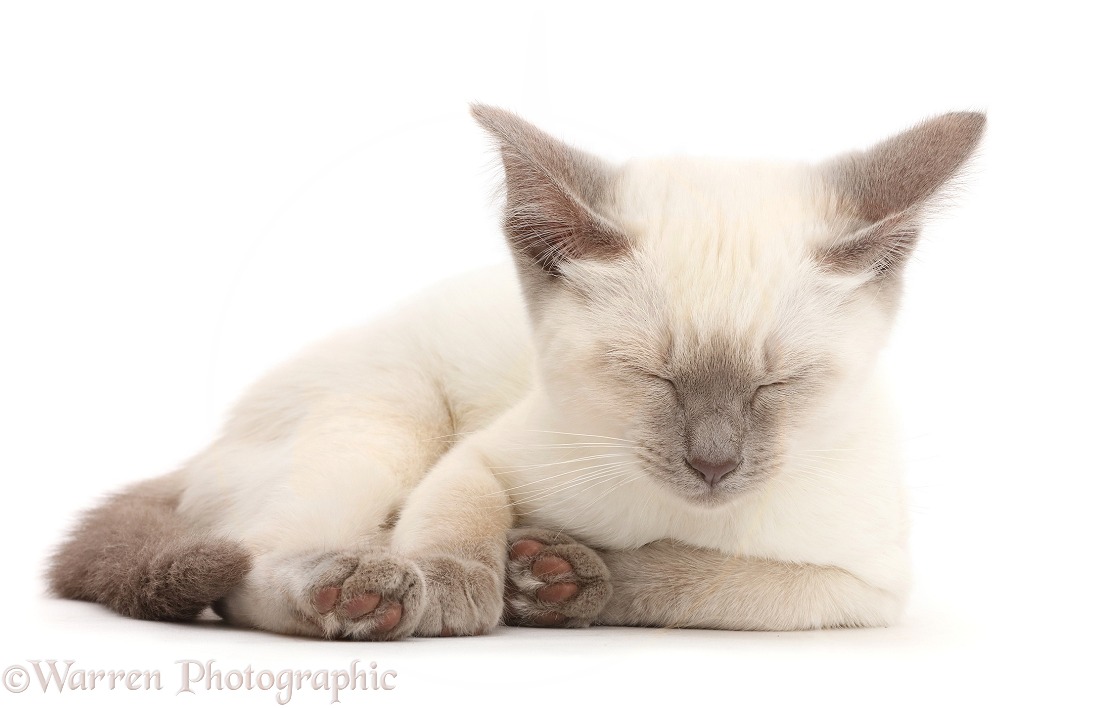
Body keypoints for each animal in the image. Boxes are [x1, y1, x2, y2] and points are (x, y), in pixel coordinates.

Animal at [45, 103, 982, 635]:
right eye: (650, 377)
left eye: (776, 383)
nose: (712, 464)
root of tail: (206, 447)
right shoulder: (485, 457)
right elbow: (460, 518)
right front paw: (469, 587)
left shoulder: (856, 591)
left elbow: (697, 578)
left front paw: (561, 581)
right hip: (393, 417)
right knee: (248, 565)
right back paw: (365, 591)